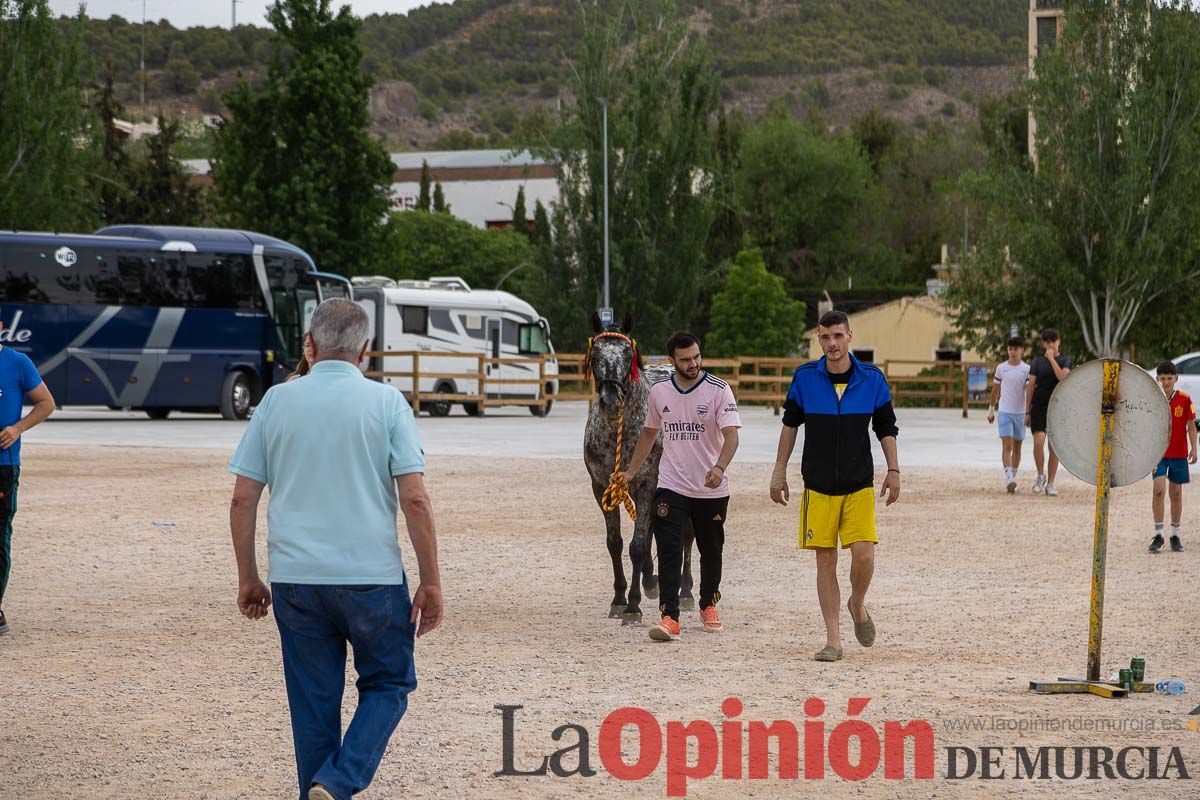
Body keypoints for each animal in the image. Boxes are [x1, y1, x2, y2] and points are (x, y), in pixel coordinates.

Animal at [580, 314, 696, 623]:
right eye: (595, 355)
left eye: (627, 355)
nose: (611, 399)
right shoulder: (602, 487)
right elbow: (616, 542)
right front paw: (619, 598)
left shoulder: (646, 485)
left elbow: (637, 545)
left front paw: (632, 605)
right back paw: (650, 580)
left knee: (685, 534)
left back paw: (685, 590)